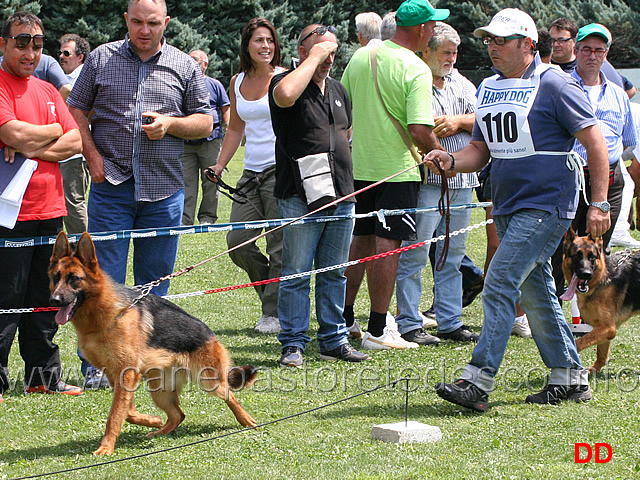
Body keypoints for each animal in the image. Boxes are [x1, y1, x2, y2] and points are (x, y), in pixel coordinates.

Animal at [48, 232, 258, 454]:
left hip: (209, 382)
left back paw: (247, 421)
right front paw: (152, 420)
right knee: (178, 415)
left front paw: (106, 447)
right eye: (56, 277)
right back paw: (159, 431)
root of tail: (210, 334)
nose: (54, 300)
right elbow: (126, 411)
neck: (107, 315)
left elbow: (115, 415)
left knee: (230, 396)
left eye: (74, 279)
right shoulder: (118, 376)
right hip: (160, 390)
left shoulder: (126, 374)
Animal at [560, 229, 640, 376]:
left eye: (592, 257)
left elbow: (579, 342)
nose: (586, 274)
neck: (602, 278)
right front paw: (591, 372)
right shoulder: (604, 328)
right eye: (577, 256)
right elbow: (601, 354)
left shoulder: (608, 328)